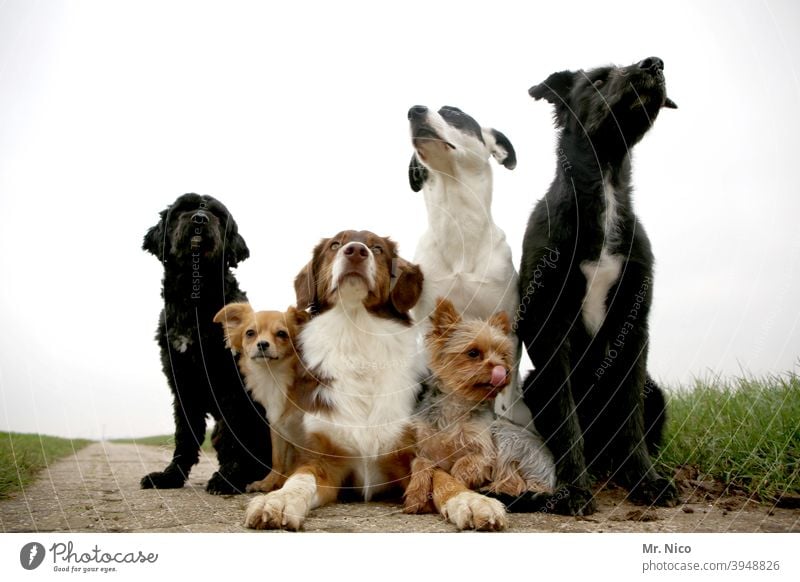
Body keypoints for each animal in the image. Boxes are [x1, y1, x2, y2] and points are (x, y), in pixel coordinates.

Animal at [141, 194, 272, 496]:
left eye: (217, 214)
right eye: (184, 207)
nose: (199, 218)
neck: (194, 302)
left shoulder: (233, 384)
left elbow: (236, 433)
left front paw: (229, 478)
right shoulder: (182, 383)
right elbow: (185, 435)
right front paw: (170, 476)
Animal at [212, 304, 310, 496]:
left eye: (281, 334)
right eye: (250, 333)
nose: (262, 343)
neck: (273, 376)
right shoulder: (277, 423)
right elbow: (277, 458)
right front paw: (269, 482)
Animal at [516, 58, 680, 516]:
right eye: (599, 78)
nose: (655, 63)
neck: (605, 188)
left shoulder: (634, 324)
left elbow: (629, 417)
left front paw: (645, 480)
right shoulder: (550, 326)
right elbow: (566, 418)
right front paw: (573, 489)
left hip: (656, 391)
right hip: (532, 383)